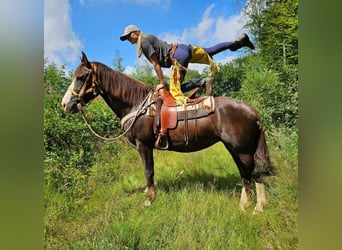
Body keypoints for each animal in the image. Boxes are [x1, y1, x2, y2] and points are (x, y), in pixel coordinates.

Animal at [62, 51, 276, 214]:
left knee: (256, 173)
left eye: (81, 77)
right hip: (235, 149)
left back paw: (258, 208)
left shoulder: (143, 145)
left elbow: (148, 171)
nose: (65, 104)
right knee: (245, 174)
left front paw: (149, 200)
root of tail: (252, 110)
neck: (136, 105)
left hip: (243, 150)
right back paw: (244, 205)